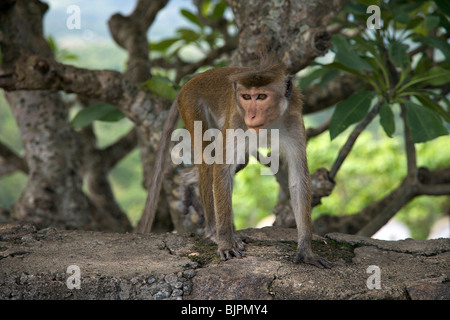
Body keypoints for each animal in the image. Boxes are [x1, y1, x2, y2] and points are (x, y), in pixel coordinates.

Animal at [141, 59, 330, 268]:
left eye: (261, 96)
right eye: (246, 97)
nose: (251, 115)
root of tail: (191, 81)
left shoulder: (294, 121)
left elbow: (298, 180)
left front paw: (306, 251)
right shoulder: (237, 120)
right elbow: (222, 169)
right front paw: (225, 243)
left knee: (238, 162)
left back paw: (185, 183)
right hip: (191, 105)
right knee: (209, 163)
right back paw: (212, 231)